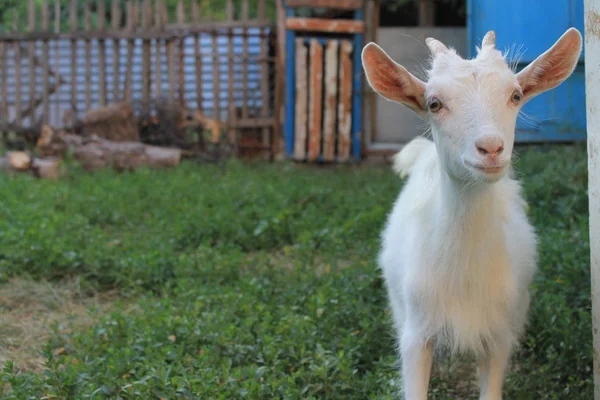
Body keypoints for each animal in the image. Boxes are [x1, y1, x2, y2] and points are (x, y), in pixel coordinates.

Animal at [360, 27, 580, 396]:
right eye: (434, 103)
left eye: (515, 95)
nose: (491, 148)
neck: (463, 275)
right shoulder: (416, 335)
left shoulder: (500, 334)